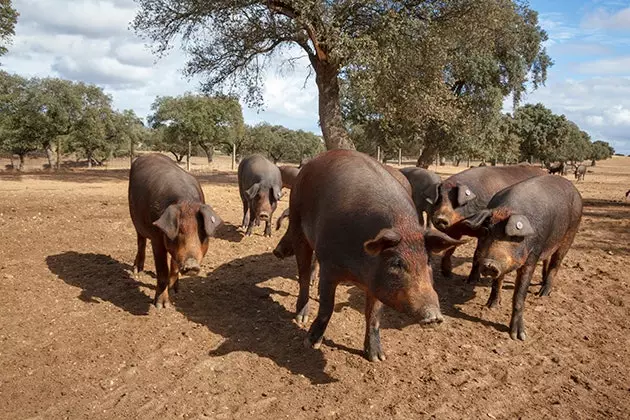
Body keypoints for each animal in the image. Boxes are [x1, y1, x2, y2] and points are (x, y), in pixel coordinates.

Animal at [128, 154, 222, 308]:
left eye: (202, 232)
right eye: (179, 231)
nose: (192, 265)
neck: (186, 201)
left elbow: (174, 265)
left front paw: (175, 289)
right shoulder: (156, 238)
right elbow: (162, 271)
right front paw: (162, 306)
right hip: (134, 217)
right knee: (140, 240)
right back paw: (137, 271)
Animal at [276, 150, 464, 360]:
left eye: (429, 261)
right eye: (396, 263)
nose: (434, 316)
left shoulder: (378, 284)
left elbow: (374, 315)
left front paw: (377, 357)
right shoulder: (329, 265)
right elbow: (327, 307)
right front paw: (310, 343)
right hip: (298, 223)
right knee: (303, 274)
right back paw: (301, 317)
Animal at [462, 175, 584, 342]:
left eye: (514, 237)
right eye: (486, 231)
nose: (489, 264)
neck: (507, 209)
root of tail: (574, 189)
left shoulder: (533, 254)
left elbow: (519, 295)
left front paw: (519, 337)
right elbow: (497, 283)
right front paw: (491, 306)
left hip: (570, 234)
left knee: (556, 263)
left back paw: (543, 293)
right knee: (547, 260)